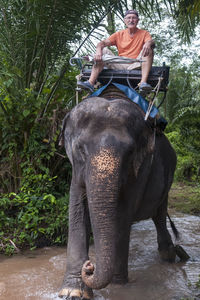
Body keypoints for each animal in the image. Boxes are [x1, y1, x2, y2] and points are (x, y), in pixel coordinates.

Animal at [58, 88, 188, 298]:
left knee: (159, 214)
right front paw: (72, 292)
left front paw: (118, 286)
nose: (90, 266)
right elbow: (77, 211)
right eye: (80, 149)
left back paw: (169, 255)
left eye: (130, 152)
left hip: (168, 179)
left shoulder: (141, 169)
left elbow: (123, 214)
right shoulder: (76, 170)